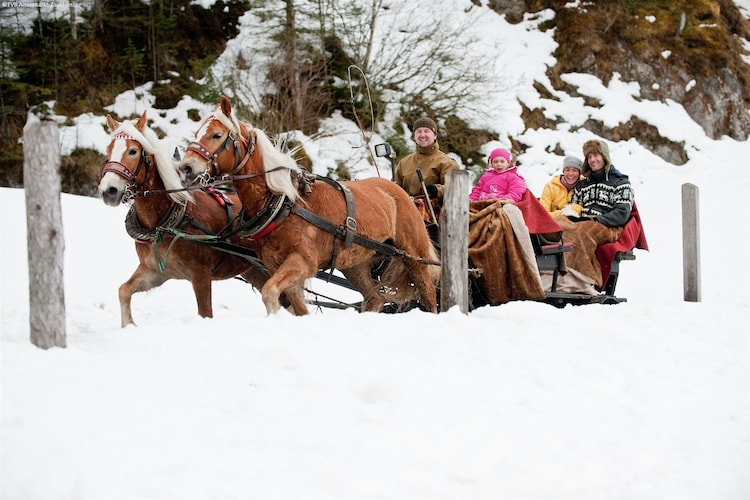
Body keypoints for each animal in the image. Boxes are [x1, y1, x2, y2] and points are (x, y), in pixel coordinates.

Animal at [98, 111, 272, 326]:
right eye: (108, 150)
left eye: (133, 151)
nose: (109, 190)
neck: (163, 223)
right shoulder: (154, 271)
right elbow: (123, 290)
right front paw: (129, 326)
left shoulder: (201, 275)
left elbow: (205, 313)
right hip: (255, 271)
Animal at [177, 95, 440, 314]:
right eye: (197, 132)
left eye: (216, 135)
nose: (186, 167)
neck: (282, 203)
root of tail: (399, 192)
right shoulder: (276, 265)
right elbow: (297, 305)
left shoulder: (303, 261)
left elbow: (270, 293)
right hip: (356, 263)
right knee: (374, 297)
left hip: (414, 256)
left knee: (428, 295)